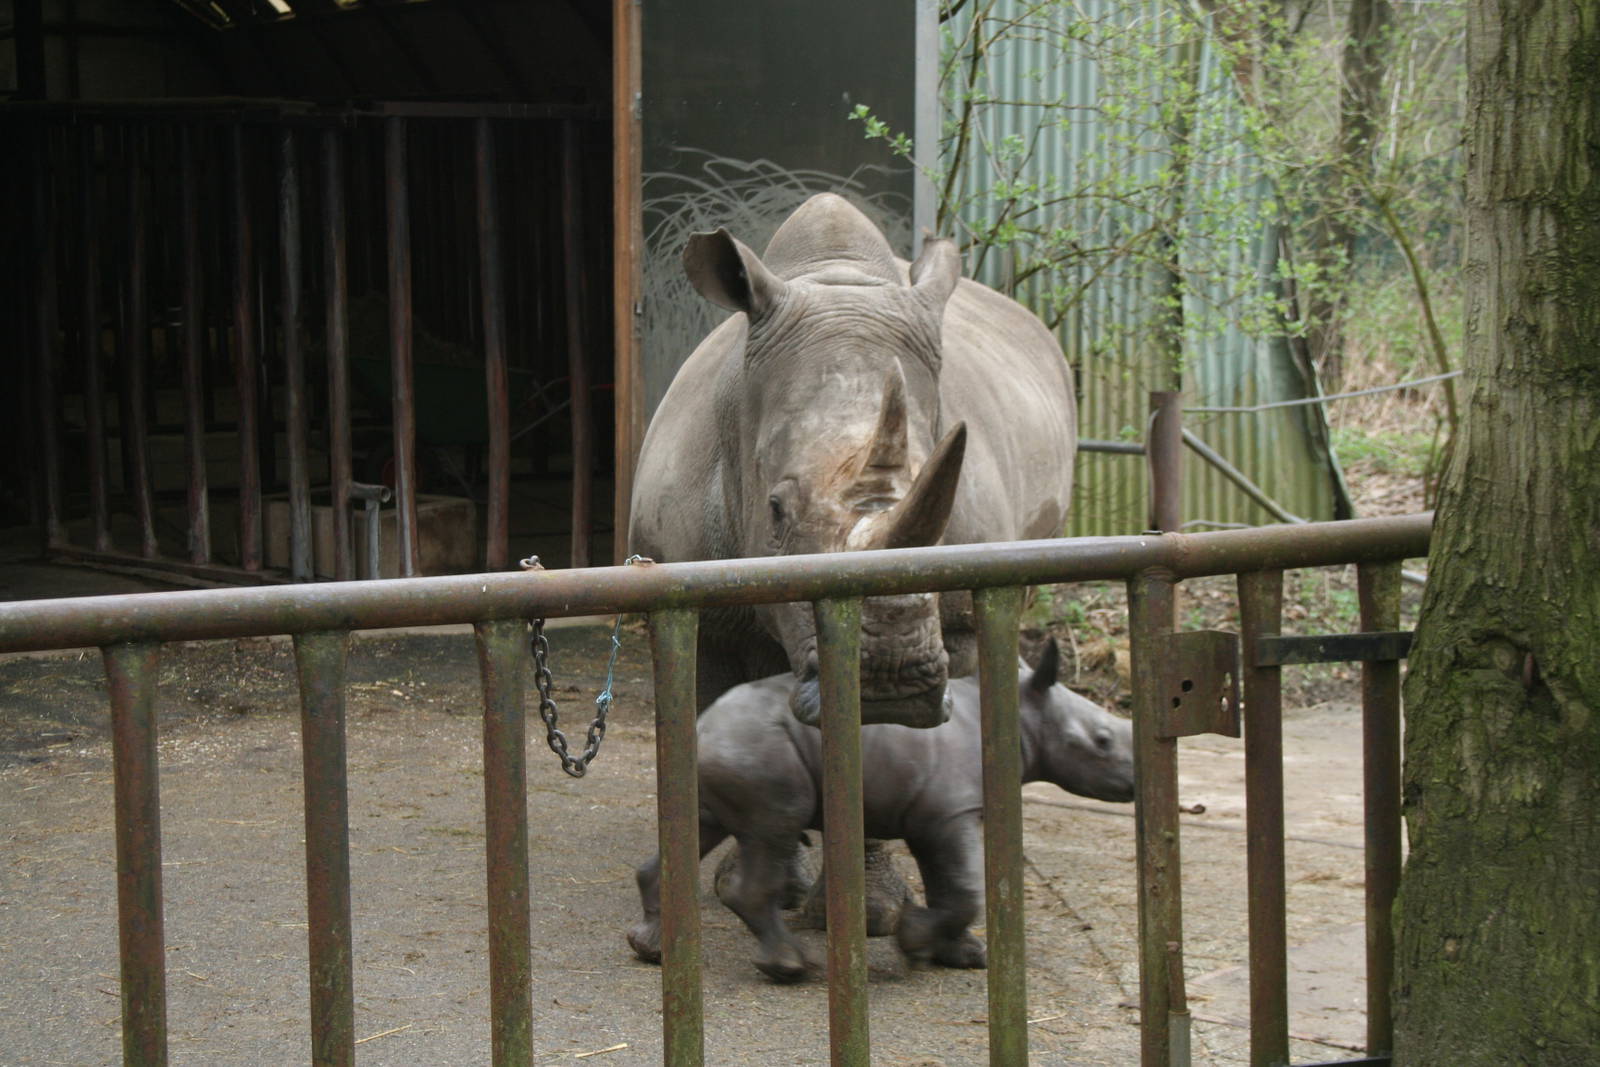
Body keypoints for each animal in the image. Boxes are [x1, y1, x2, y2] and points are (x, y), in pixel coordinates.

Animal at [625, 639, 1135, 982]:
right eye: (1102, 741)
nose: (1134, 781)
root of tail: (702, 727)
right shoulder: (949, 813)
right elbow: (965, 890)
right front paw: (914, 941)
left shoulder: (937, 816)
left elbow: (949, 886)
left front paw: (963, 954)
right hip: (762, 754)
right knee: (775, 826)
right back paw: (791, 967)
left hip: (727, 754)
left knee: (701, 826)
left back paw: (651, 949)